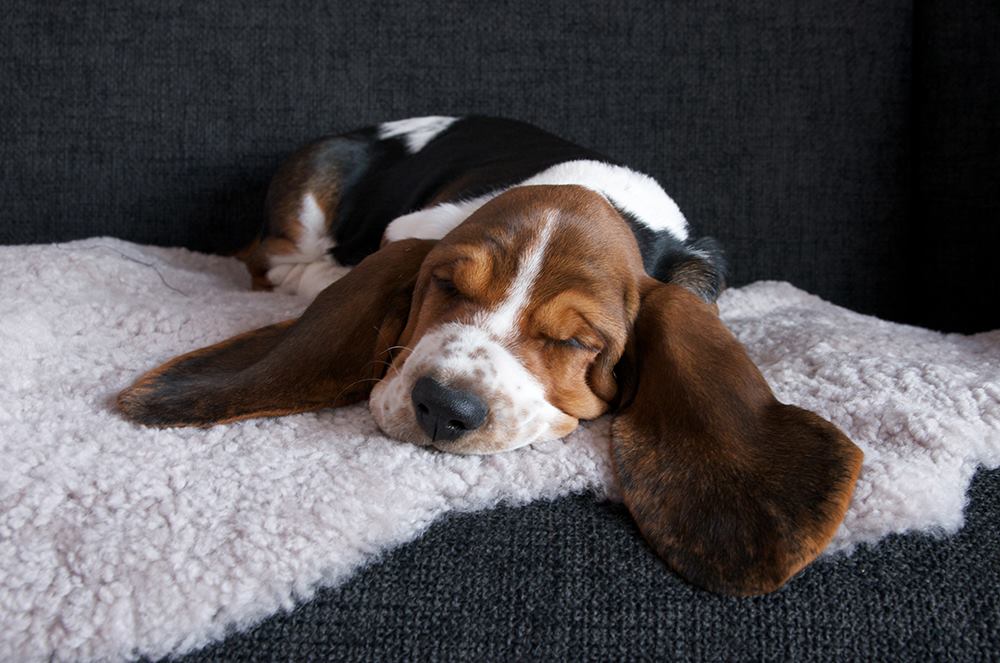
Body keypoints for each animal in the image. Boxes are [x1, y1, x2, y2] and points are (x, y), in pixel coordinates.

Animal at [117, 116, 864, 600]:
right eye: (446, 285)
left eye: (577, 342)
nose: (443, 408)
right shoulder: (414, 232)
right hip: (306, 201)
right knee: (271, 260)